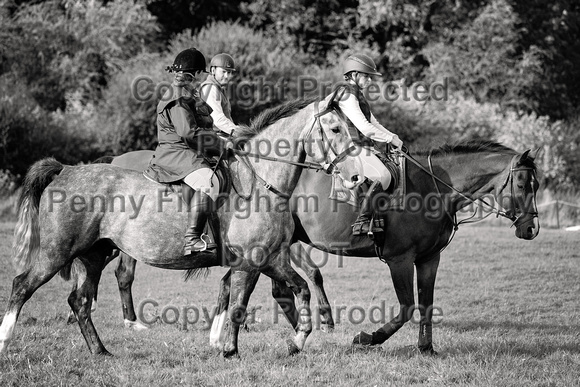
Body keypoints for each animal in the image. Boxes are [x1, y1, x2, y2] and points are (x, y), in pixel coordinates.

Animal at [0, 99, 362, 358]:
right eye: (334, 129)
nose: (356, 177)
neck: (260, 182)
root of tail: (65, 170)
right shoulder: (248, 264)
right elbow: (240, 304)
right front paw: (230, 350)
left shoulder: (270, 260)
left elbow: (300, 289)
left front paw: (297, 341)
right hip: (57, 252)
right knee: (23, 286)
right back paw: (5, 340)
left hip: (93, 255)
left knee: (79, 300)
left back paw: (101, 351)